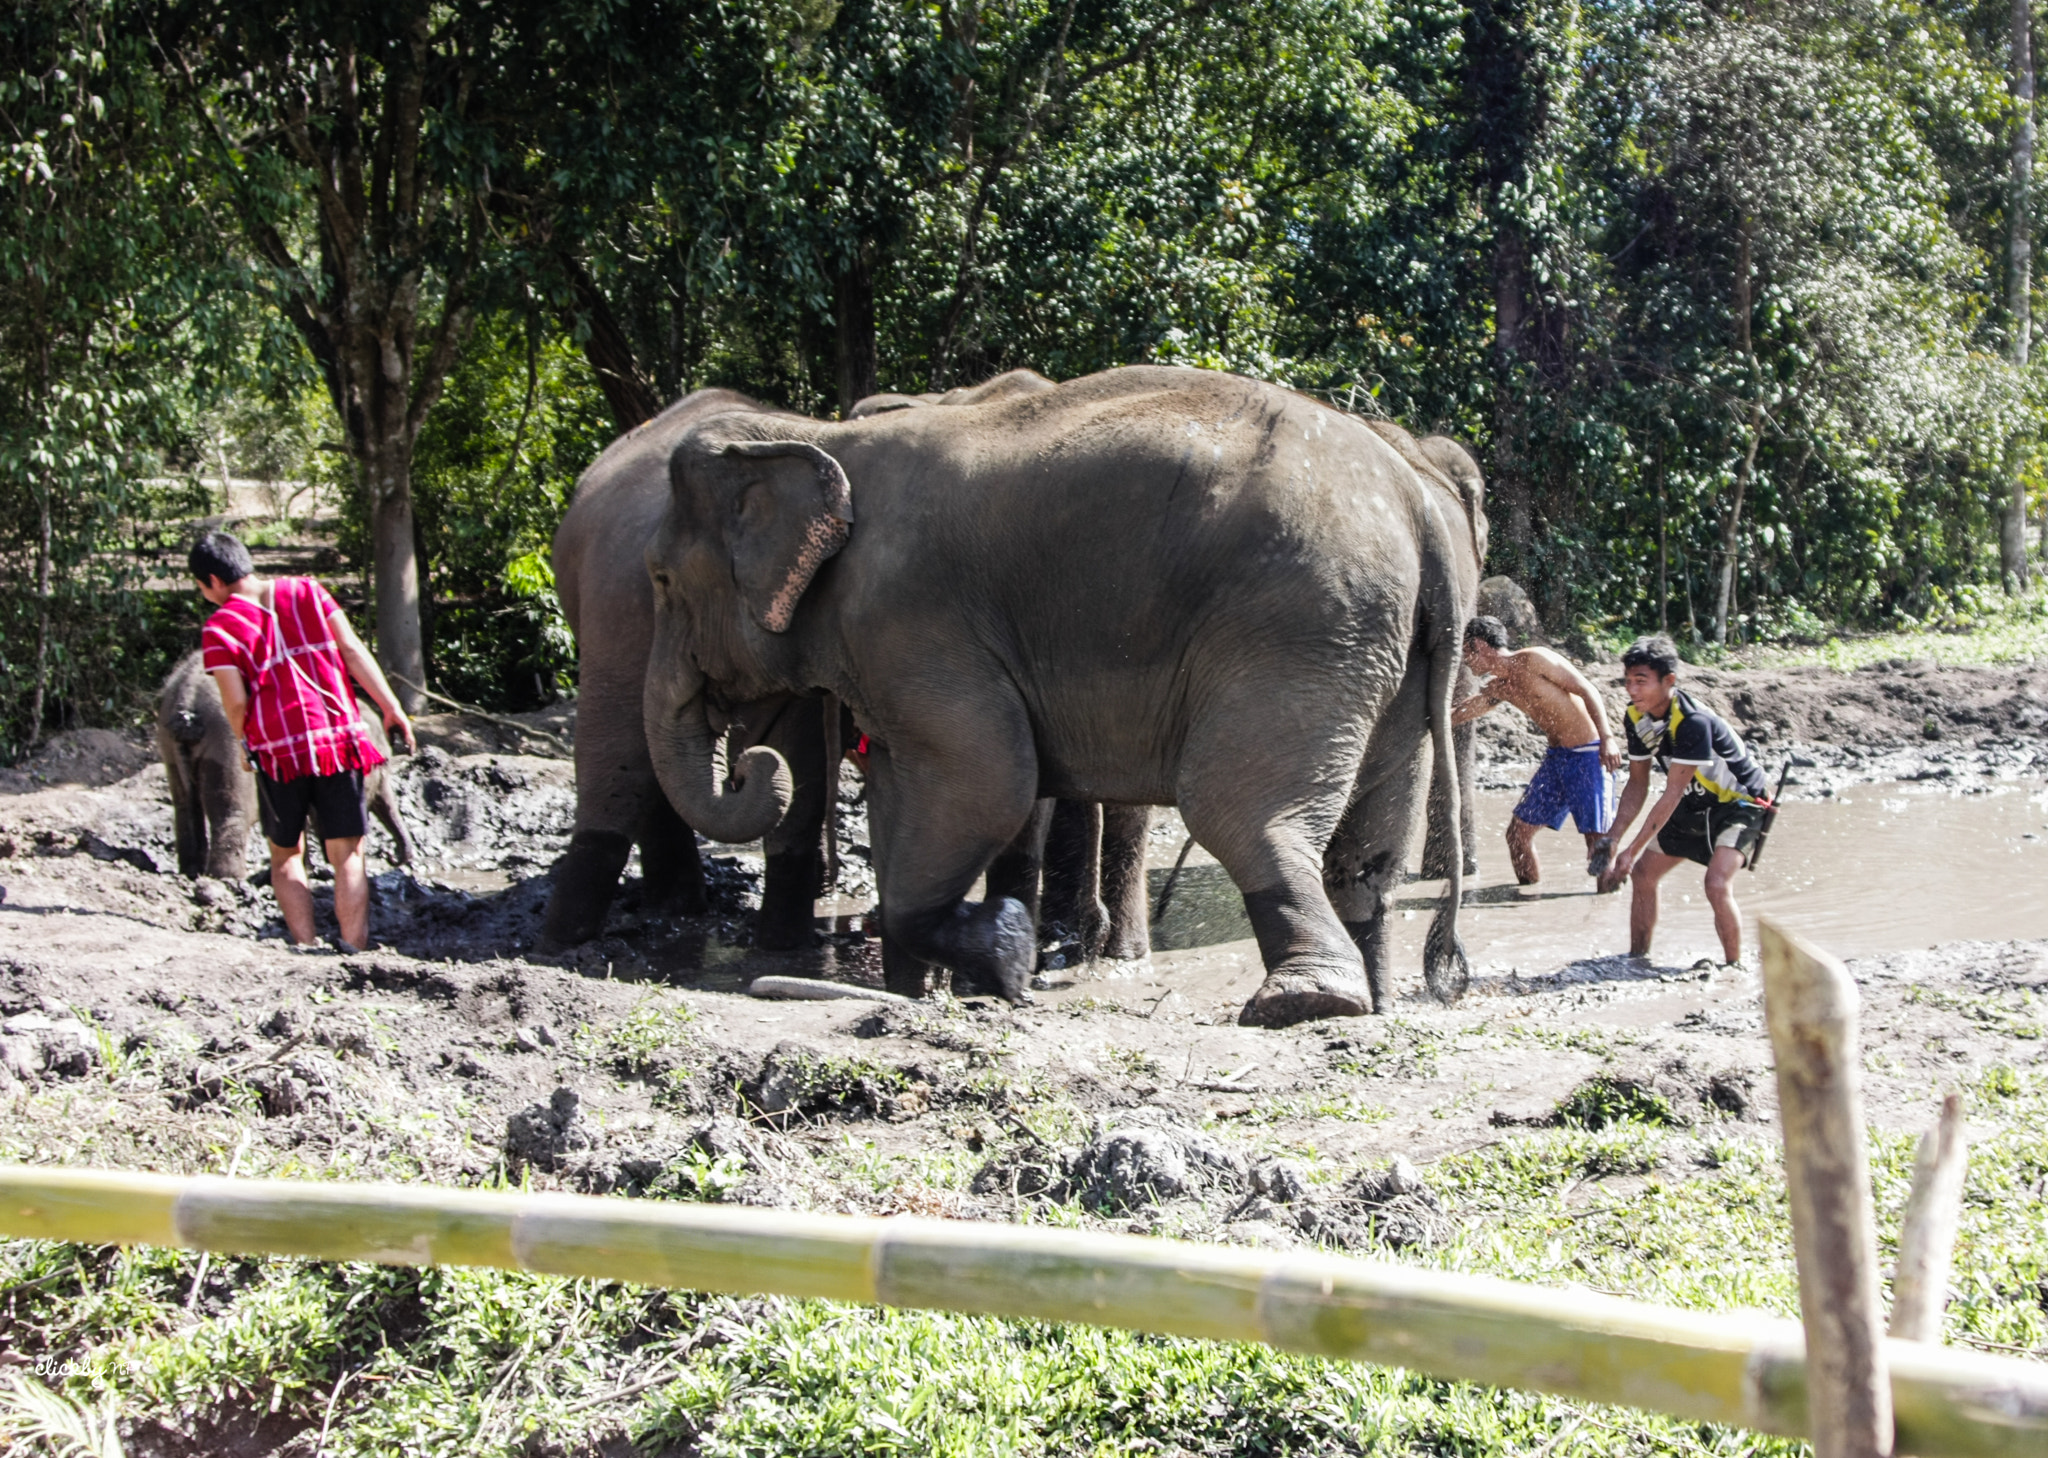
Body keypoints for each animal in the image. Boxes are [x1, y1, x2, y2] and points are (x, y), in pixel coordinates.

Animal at [156, 650, 416, 878]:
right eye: (382, 764)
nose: (392, 857)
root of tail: (187, 704)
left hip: (169, 741)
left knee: (184, 805)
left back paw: (192, 872)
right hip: (227, 744)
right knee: (232, 810)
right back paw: (231, 879)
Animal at [542, 389, 835, 951]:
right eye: (661, 579)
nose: (740, 771)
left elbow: (800, 752)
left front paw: (782, 945)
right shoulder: (623, 602)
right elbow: (617, 745)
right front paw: (560, 942)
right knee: (630, 748)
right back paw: (660, 909)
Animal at [640, 365, 1482, 1028]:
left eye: (659, 579)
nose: (749, 760)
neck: (812, 435)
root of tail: (1417, 505)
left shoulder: (913, 619)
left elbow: (987, 781)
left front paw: (1007, 953)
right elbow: (906, 790)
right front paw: (924, 988)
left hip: (1299, 627)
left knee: (1237, 813)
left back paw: (1303, 1002)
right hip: (1385, 654)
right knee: (1368, 852)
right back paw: (1377, 1002)